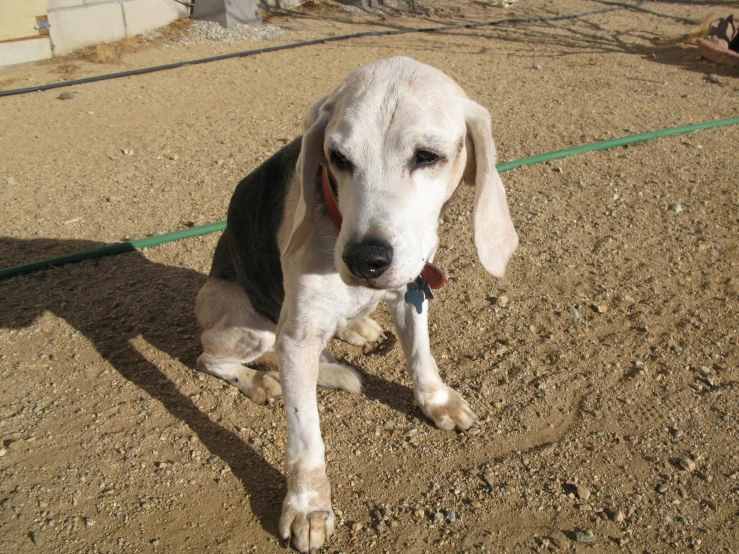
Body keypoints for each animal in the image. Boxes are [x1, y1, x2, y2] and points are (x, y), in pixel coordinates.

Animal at [197, 58, 520, 548]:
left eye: (427, 156)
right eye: (339, 159)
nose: (365, 260)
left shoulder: (411, 289)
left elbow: (421, 356)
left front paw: (435, 400)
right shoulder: (298, 338)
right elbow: (305, 435)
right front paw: (308, 505)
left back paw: (355, 328)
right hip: (244, 323)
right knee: (210, 357)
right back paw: (258, 381)